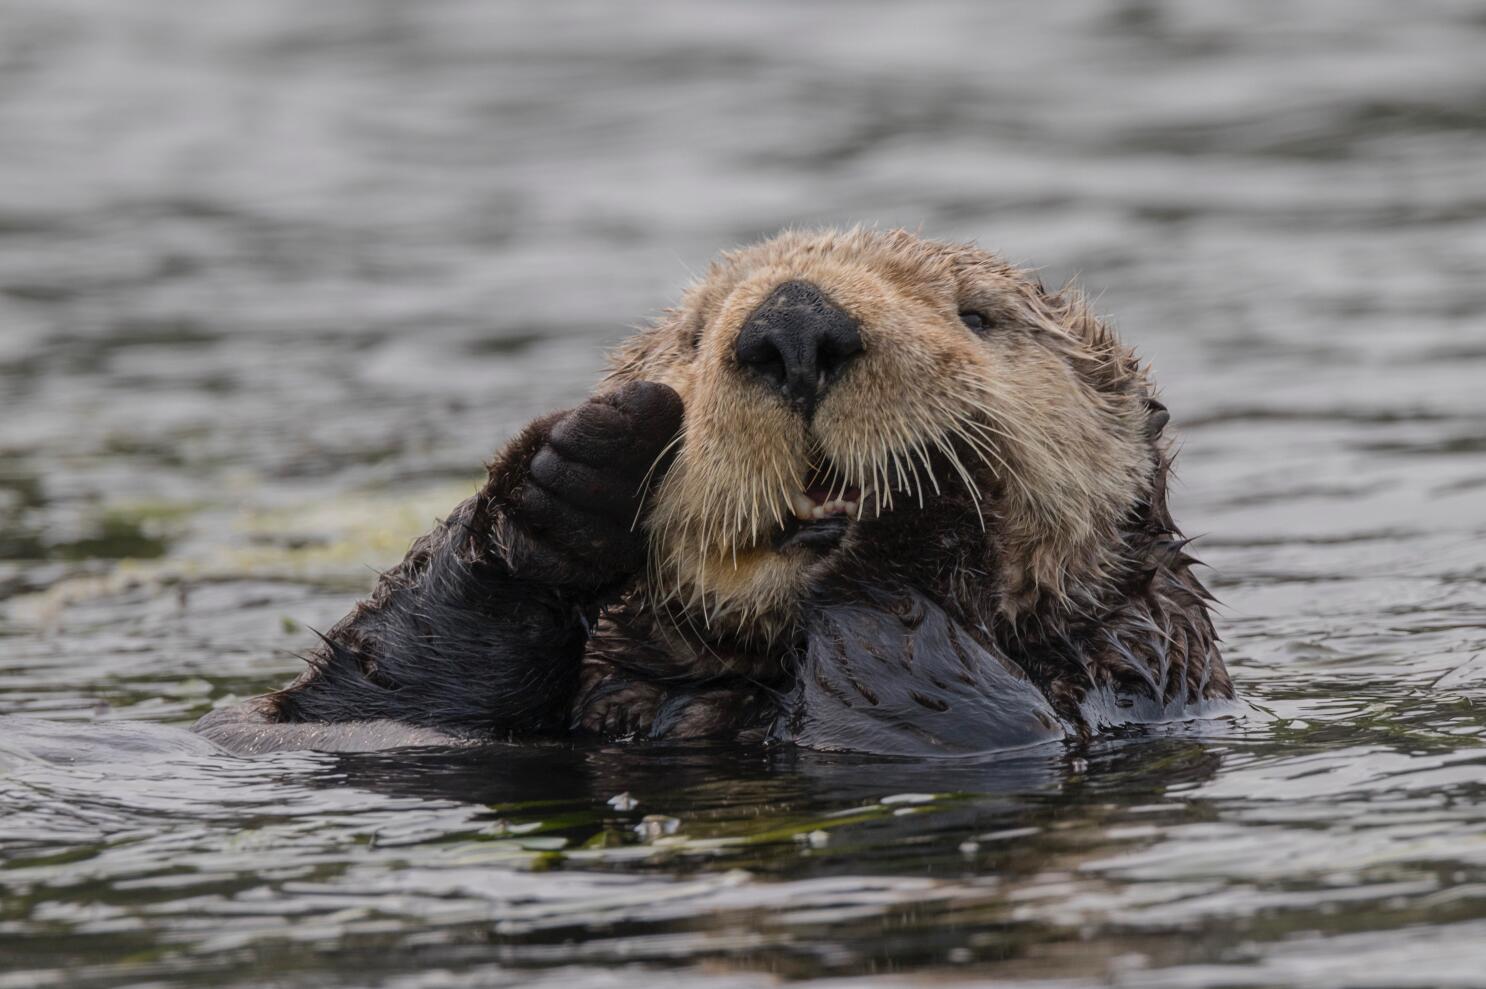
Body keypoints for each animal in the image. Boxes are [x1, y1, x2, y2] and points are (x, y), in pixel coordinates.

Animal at [200, 228, 1242, 754]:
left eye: (979, 317)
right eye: (694, 335)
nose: (795, 322)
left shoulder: (1122, 673)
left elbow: (946, 709)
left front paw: (923, 498)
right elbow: (349, 707)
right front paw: (570, 474)